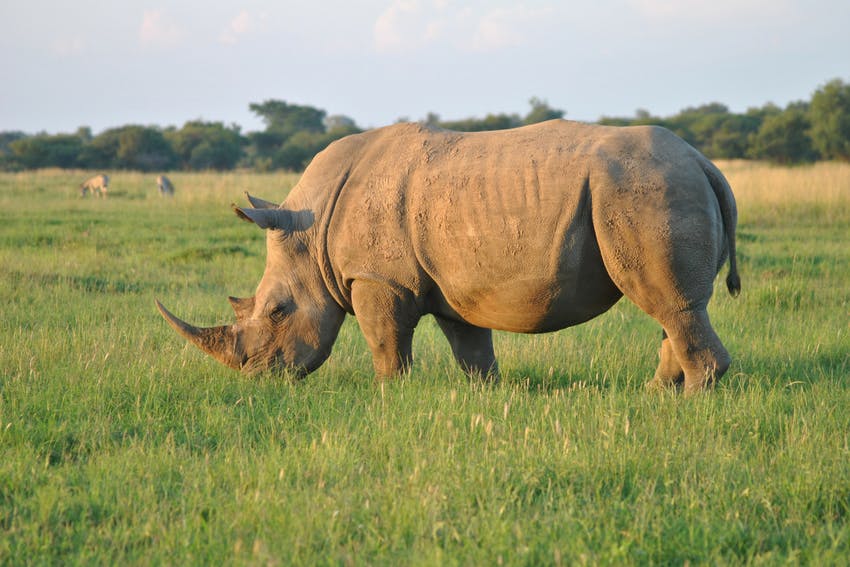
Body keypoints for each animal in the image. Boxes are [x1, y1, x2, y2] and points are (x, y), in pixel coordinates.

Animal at [157, 120, 740, 394]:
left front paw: (389, 394)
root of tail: (705, 162)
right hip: (654, 189)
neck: (310, 228)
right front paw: (489, 393)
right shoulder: (455, 284)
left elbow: (385, 341)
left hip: (647, 191)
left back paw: (688, 402)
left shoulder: (377, 279)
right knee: (673, 308)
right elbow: (471, 348)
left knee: (671, 305)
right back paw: (655, 395)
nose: (259, 379)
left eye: (277, 312)